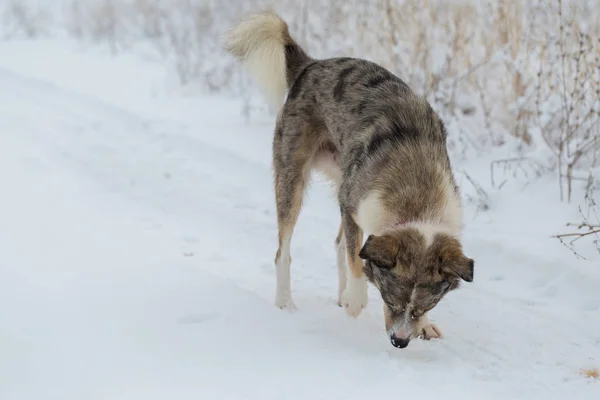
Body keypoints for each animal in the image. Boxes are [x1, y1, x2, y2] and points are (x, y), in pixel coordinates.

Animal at [225, 12, 474, 348]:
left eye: (425, 306)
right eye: (390, 301)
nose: (399, 342)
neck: (417, 195)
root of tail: (311, 65)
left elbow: (352, 250)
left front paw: (424, 325)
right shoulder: (354, 204)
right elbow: (356, 258)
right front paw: (356, 299)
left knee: (337, 242)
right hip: (293, 179)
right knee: (284, 250)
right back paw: (286, 301)